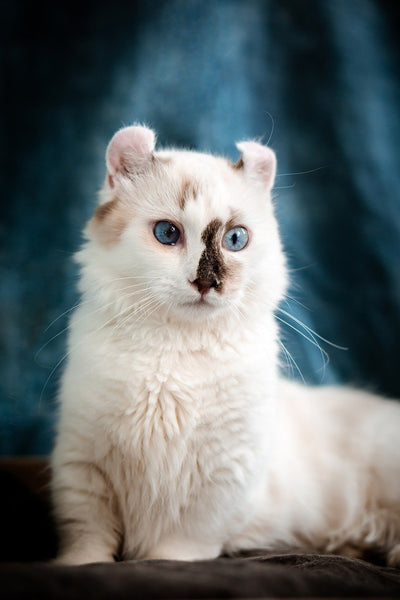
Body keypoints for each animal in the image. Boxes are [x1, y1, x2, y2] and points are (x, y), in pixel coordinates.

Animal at [51, 124, 400, 564]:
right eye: (168, 233)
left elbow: (178, 548)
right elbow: (88, 541)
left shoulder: (223, 476)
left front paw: (161, 564)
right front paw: (80, 566)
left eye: (235, 239)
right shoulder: (83, 464)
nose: (206, 282)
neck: (176, 354)